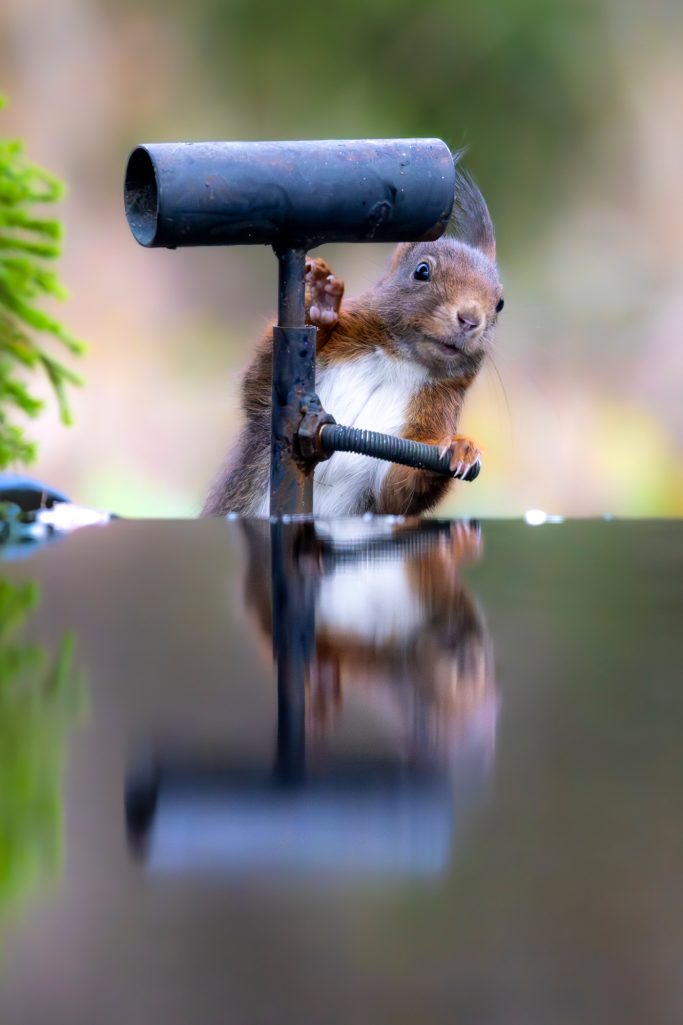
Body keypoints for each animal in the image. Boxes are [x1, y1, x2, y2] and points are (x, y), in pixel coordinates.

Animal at [202, 170, 500, 520]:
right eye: (422, 271)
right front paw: (319, 301)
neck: (399, 363)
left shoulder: (432, 413)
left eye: (500, 304)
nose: (470, 318)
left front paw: (458, 447)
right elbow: (260, 387)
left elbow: (397, 491)